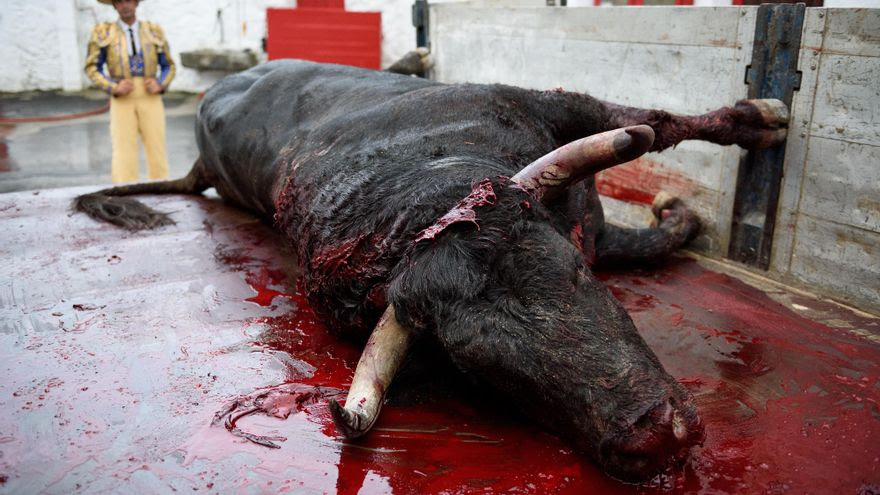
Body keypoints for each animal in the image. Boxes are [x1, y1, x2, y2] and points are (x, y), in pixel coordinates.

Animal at [74, 56, 792, 482]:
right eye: (479, 370)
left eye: (573, 274)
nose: (657, 437)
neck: (416, 188)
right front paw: (686, 207)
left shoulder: (558, 114)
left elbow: (654, 124)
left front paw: (759, 119)